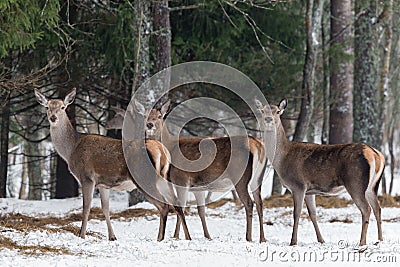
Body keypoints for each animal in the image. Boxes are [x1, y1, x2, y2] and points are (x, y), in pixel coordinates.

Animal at [34, 89, 191, 243]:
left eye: (62, 107)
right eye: (47, 107)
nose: (53, 117)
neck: (71, 149)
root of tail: (162, 150)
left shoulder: (87, 177)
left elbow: (86, 207)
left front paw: (81, 235)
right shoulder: (103, 184)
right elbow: (105, 208)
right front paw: (112, 237)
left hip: (144, 177)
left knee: (164, 205)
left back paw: (160, 238)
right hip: (164, 177)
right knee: (177, 203)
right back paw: (186, 237)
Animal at [139, 100, 268, 243]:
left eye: (159, 116)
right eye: (144, 116)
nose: (149, 124)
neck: (170, 149)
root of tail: (257, 145)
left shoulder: (181, 179)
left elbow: (181, 206)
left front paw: (176, 236)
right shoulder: (198, 188)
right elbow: (201, 210)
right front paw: (207, 236)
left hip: (240, 177)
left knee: (249, 203)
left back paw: (248, 237)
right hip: (257, 178)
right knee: (260, 203)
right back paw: (262, 238)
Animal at [256, 98, 384, 247]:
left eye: (277, 111)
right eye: (262, 110)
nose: (268, 119)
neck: (281, 159)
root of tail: (375, 154)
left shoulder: (298, 185)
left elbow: (297, 213)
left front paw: (293, 241)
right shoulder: (309, 191)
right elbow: (313, 214)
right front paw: (321, 240)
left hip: (355, 183)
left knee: (366, 209)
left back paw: (362, 242)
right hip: (372, 186)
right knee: (377, 208)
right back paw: (380, 240)